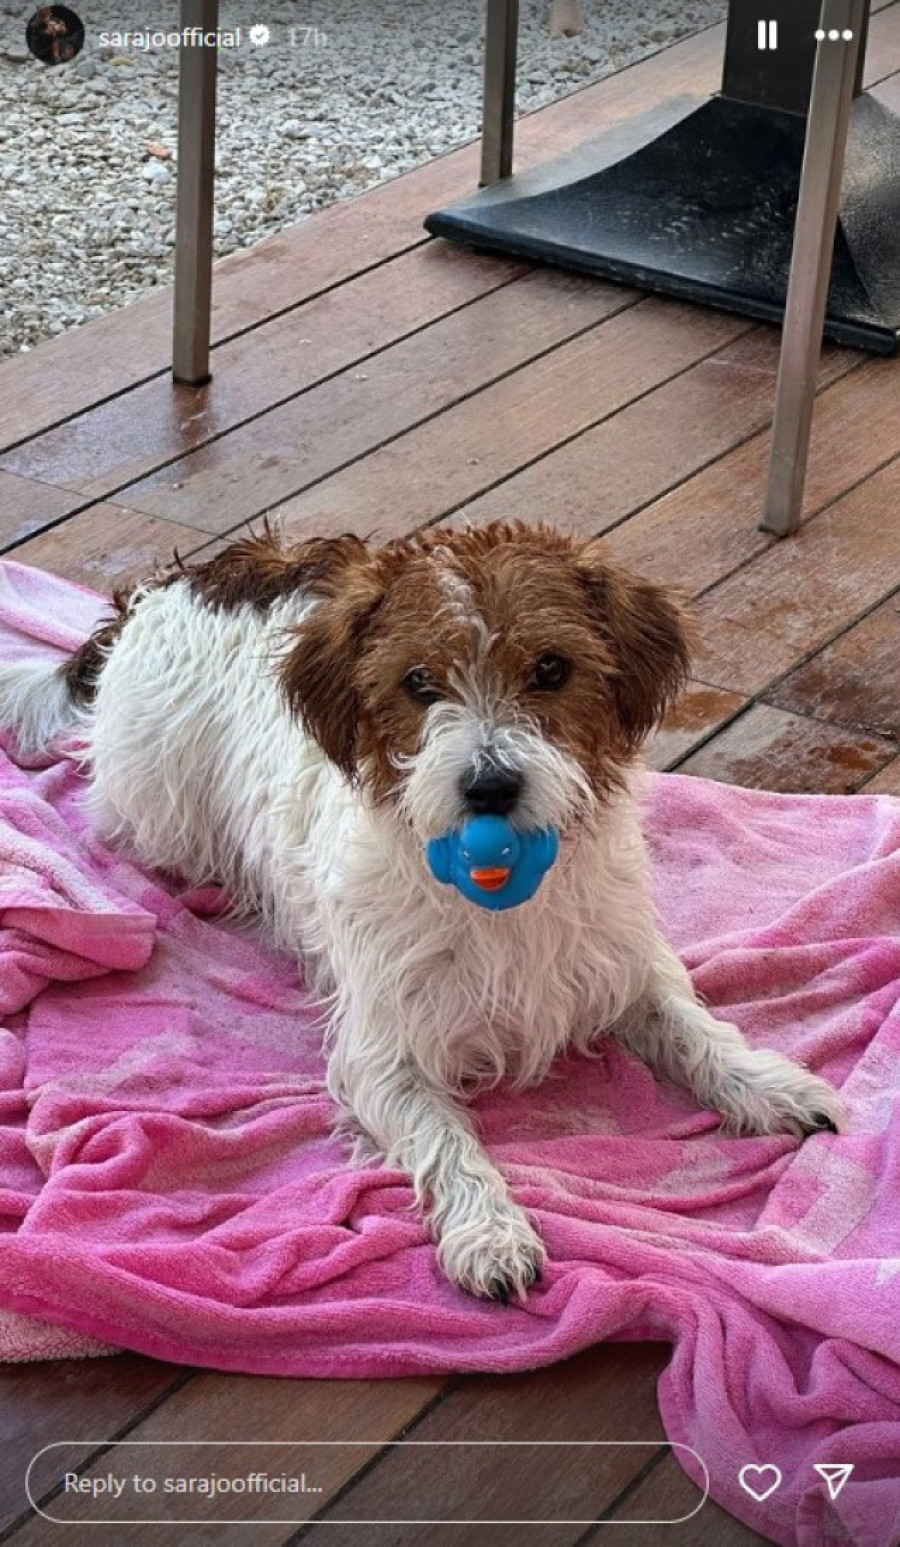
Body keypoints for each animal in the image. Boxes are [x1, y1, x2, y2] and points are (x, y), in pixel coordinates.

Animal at [0, 519, 844, 1302]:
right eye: (418, 682)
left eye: (551, 667)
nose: (489, 786)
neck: (502, 901)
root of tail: (180, 582)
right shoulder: (383, 1050)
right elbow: (445, 1138)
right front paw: (489, 1229)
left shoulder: (624, 957)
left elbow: (693, 1025)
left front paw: (769, 1084)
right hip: (160, 811)